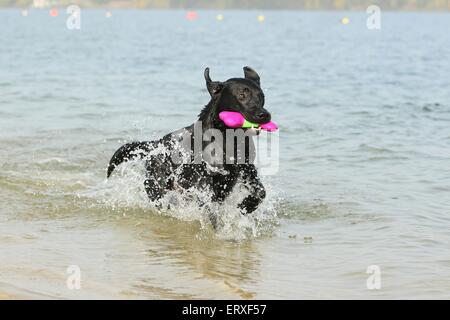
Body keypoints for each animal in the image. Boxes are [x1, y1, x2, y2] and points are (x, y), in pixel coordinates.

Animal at [107, 67, 272, 222]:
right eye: (242, 95)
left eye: (262, 97)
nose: (264, 115)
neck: (226, 137)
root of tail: (156, 144)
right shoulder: (203, 181)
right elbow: (210, 206)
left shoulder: (246, 168)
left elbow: (261, 192)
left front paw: (246, 206)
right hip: (156, 186)